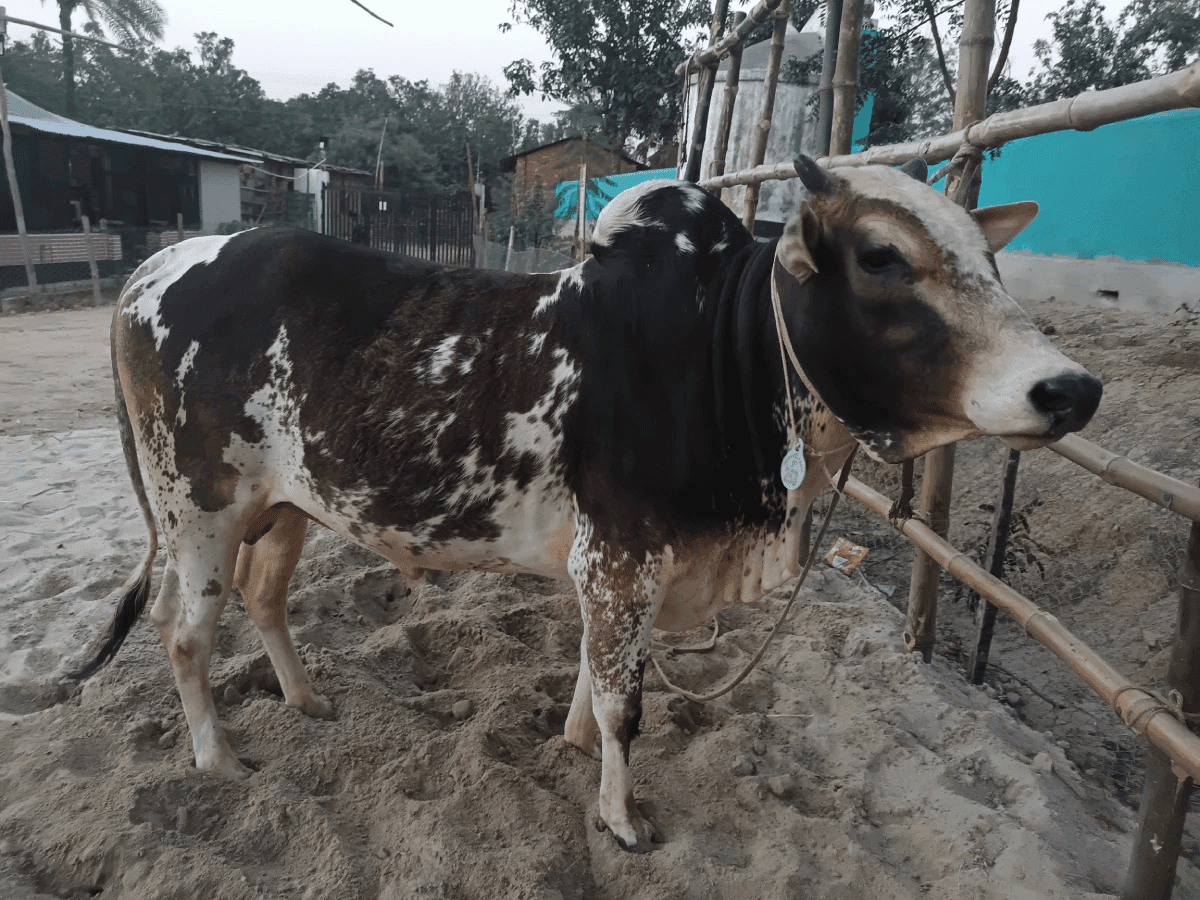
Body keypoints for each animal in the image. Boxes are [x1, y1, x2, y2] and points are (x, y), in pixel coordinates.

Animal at [74, 155, 1101, 852]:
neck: (722, 349)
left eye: (991, 261)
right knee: (185, 633)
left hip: (286, 506)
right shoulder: (621, 555)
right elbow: (625, 704)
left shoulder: (619, 565)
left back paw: (307, 699)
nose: (1071, 390)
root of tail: (153, 268)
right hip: (198, 508)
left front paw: (569, 745)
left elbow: (592, 677)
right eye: (883, 256)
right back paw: (217, 759)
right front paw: (620, 816)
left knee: (263, 597)